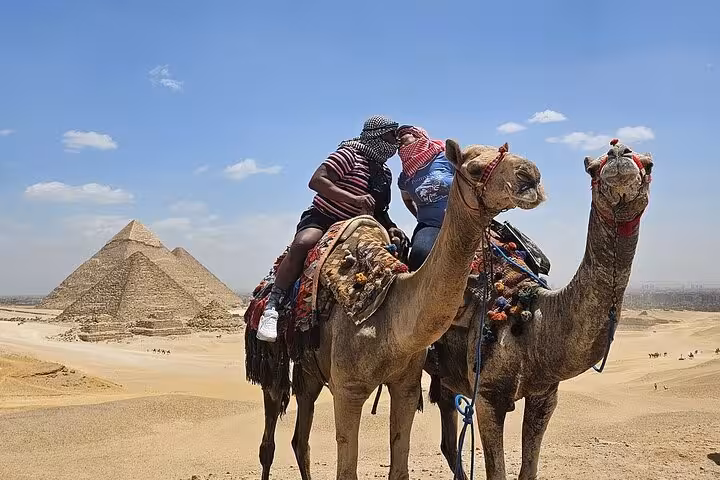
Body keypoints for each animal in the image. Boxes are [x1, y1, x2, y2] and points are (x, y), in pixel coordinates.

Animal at [251, 139, 546, 480]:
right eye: (473, 168)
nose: (531, 175)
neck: (391, 317)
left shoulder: (406, 386)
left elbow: (399, 468)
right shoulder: (348, 390)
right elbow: (346, 471)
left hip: (309, 368)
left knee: (301, 436)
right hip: (271, 358)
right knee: (269, 436)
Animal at [427, 140, 654, 480]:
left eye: (649, 164)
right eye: (592, 168)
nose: (618, 154)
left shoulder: (545, 393)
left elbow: (528, 469)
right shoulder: (488, 396)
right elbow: (497, 472)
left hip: (444, 377)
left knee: (447, 437)